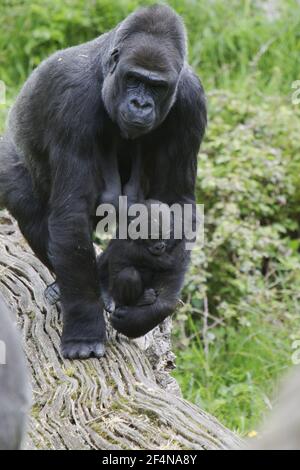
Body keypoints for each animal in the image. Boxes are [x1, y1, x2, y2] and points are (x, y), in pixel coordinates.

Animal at [97, 201, 189, 338]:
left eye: (165, 235)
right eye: (151, 237)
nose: (161, 246)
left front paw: (134, 321)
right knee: (129, 275)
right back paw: (140, 300)